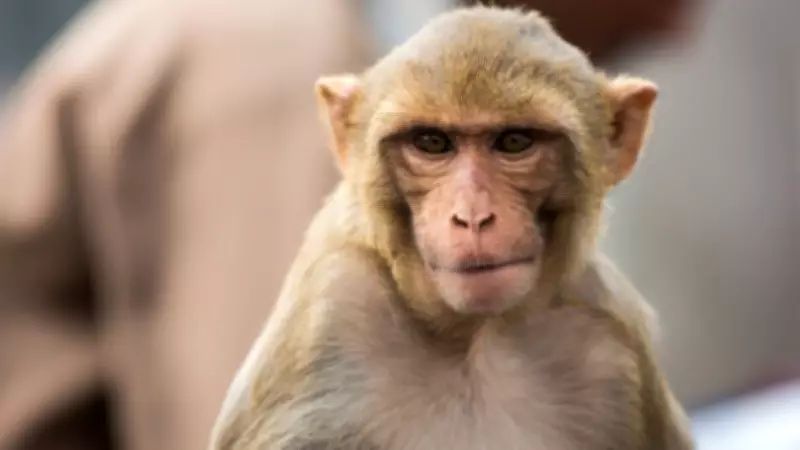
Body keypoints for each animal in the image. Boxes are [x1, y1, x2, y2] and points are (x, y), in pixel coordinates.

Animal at [209, 5, 695, 450]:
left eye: (514, 142)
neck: (473, 337)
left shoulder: (616, 346)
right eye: (431, 142)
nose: (472, 216)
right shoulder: (328, 316)